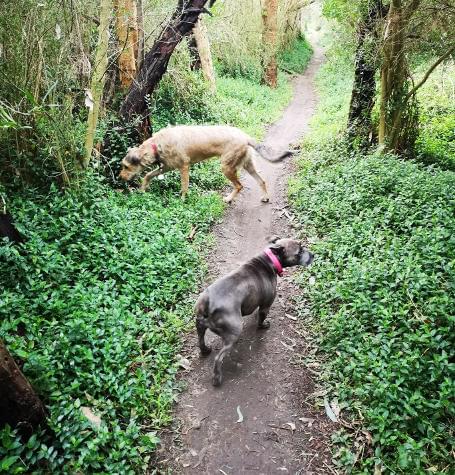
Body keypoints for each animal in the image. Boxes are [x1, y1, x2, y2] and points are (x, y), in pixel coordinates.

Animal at [119, 124, 290, 203]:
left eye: (126, 166)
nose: (120, 177)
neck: (157, 145)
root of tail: (245, 136)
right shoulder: (166, 167)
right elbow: (147, 175)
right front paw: (142, 189)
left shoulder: (184, 167)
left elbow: (184, 187)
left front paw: (182, 201)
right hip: (247, 165)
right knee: (262, 181)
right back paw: (265, 197)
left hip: (226, 167)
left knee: (239, 186)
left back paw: (229, 199)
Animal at [194, 238, 316, 386]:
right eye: (299, 252)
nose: (313, 255)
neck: (270, 259)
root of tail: (209, 304)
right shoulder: (265, 306)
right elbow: (261, 319)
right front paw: (263, 326)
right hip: (233, 332)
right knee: (219, 357)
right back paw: (217, 378)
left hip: (200, 324)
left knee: (201, 339)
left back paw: (205, 350)